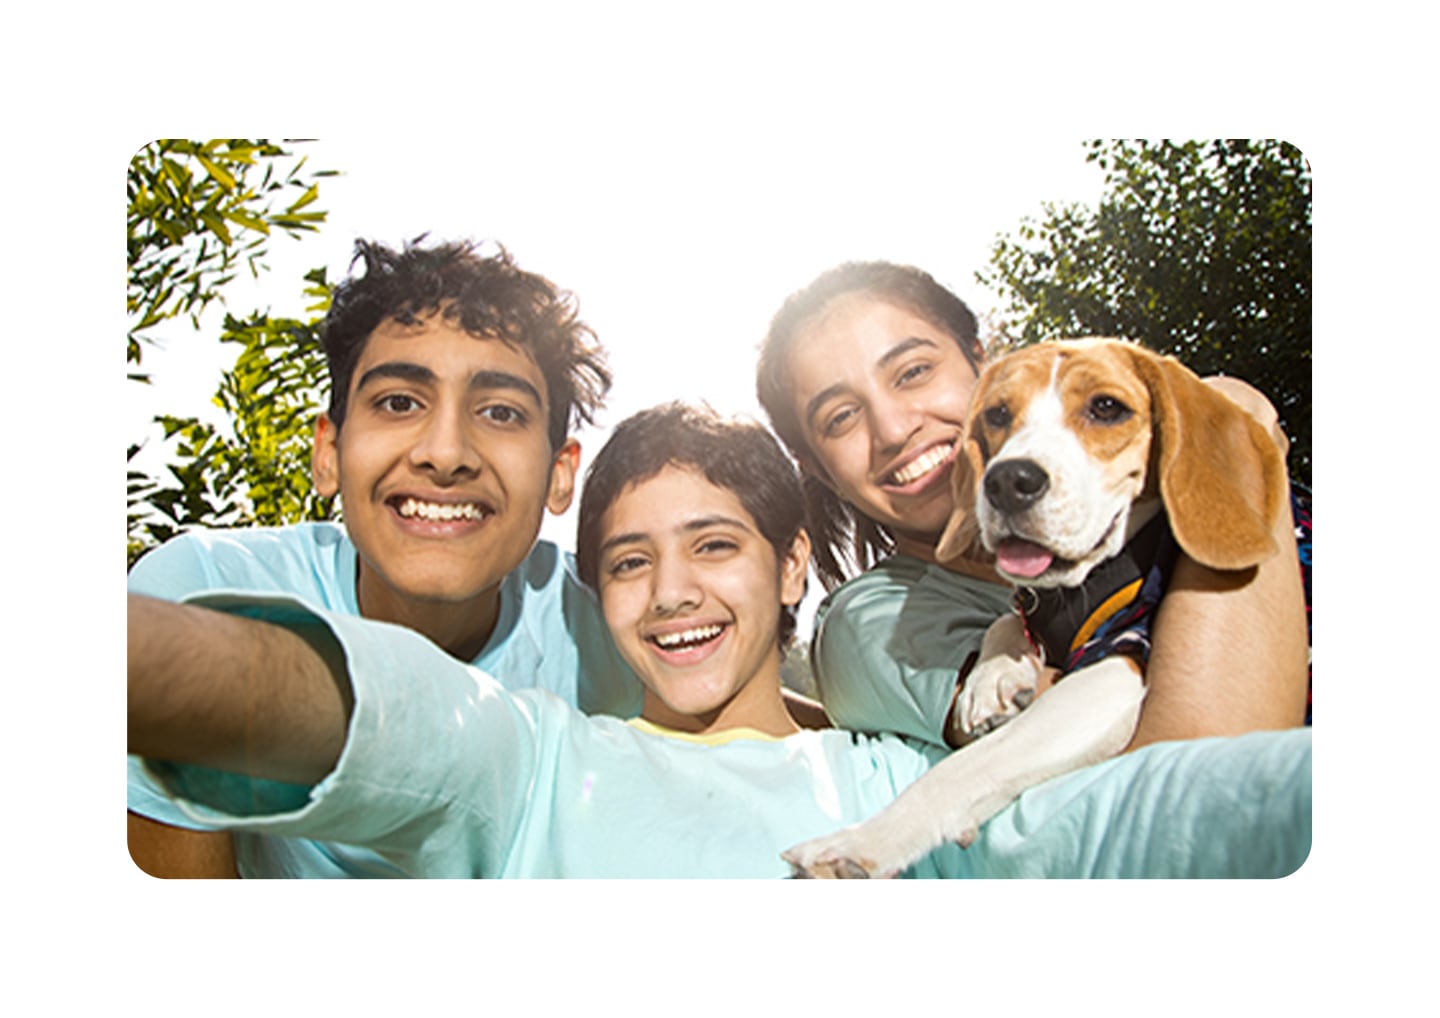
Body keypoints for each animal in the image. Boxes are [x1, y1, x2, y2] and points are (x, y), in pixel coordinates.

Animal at [783, 338, 1290, 881]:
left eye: (1107, 408)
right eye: (998, 414)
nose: (1007, 481)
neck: (1073, 588)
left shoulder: (1118, 664)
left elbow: (972, 763)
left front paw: (862, 840)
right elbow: (1009, 616)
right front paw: (993, 680)